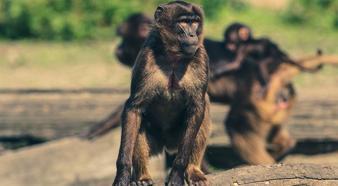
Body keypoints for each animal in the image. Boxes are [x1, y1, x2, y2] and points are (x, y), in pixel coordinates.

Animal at [113, 1, 211, 185]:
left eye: (194, 22)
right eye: (184, 22)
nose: (192, 34)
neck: (173, 56)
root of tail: (167, 144)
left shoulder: (201, 56)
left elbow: (197, 107)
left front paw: (178, 173)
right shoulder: (146, 57)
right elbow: (133, 109)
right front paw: (122, 175)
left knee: (204, 110)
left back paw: (193, 169)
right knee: (138, 122)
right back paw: (142, 176)